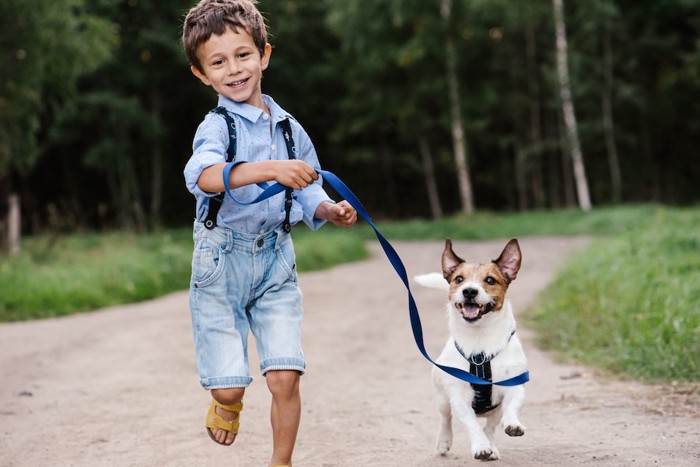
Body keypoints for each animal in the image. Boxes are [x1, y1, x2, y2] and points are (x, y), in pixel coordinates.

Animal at [416, 239, 524, 462]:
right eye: (459, 279)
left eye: (490, 280)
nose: (469, 291)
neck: (480, 342)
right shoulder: (459, 398)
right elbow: (471, 424)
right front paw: (481, 447)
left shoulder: (515, 385)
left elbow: (512, 406)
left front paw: (512, 424)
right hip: (442, 399)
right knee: (445, 419)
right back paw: (444, 441)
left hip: (494, 411)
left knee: (490, 426)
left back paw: (492, 445)